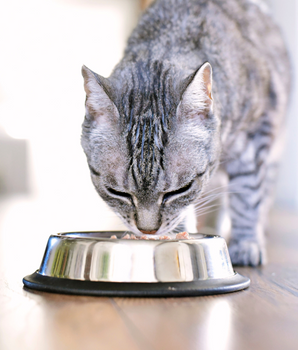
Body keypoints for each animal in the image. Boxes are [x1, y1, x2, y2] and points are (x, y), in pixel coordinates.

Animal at [80, 0, 290, 266]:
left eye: (179, 190)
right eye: (117, 192)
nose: (148, 230)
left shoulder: (254, 135)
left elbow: (247, 195)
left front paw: (246, 242)